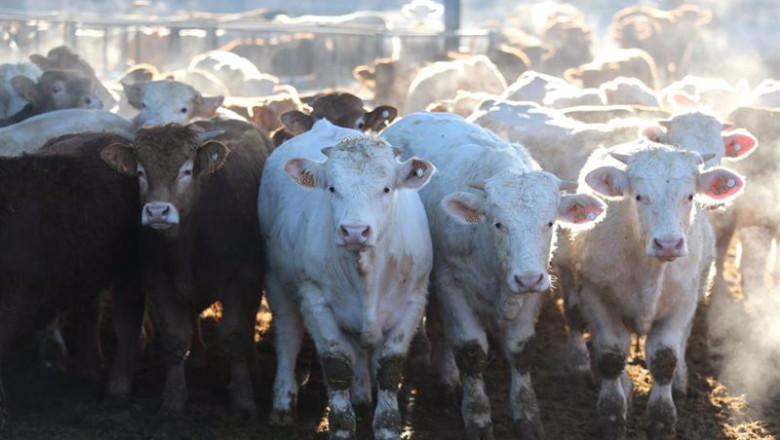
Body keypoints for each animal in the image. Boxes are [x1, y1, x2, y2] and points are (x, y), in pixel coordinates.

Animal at [0, 135, 144, 438]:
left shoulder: (13, 298)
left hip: (130, 265)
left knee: (127, 317)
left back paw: (117, 389)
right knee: (89, 313)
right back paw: (89, 371)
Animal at [100, 120, 269, 417]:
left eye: (187, 170)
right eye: (141, 172)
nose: (157, 212)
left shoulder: (242, 279)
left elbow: (235, 335)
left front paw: (243, 399)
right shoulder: (160, 282)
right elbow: (175, 338)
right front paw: (173, 400)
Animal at [258, 119, 435, 440]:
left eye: (386, 188)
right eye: (331, 188)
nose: (354, 231)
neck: (366, 273)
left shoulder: (414, 301)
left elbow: (389, 365)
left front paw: (387, 426)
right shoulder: (316, 303)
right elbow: (336, 365)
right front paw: (341, 426)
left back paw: (362, 394)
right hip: (276, 280)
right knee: (288, 336)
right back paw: (283, 401)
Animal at [382, 111, 605, 440]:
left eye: (550, 223)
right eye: (499, 224)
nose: (527, 278)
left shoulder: (533, 295)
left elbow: (520, 350)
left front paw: (527, 418)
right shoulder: (451, 285)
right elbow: (470, 351)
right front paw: (477, 418)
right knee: (438, 330)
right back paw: (446, 379)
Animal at [563, 141, 744, 440]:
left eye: (690, 196)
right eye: (639, 197)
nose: (668, 244)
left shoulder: (683, 302)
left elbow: (665, 358)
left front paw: (662, 420)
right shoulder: (595, 296)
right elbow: (611, 354)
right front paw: (612, 416)